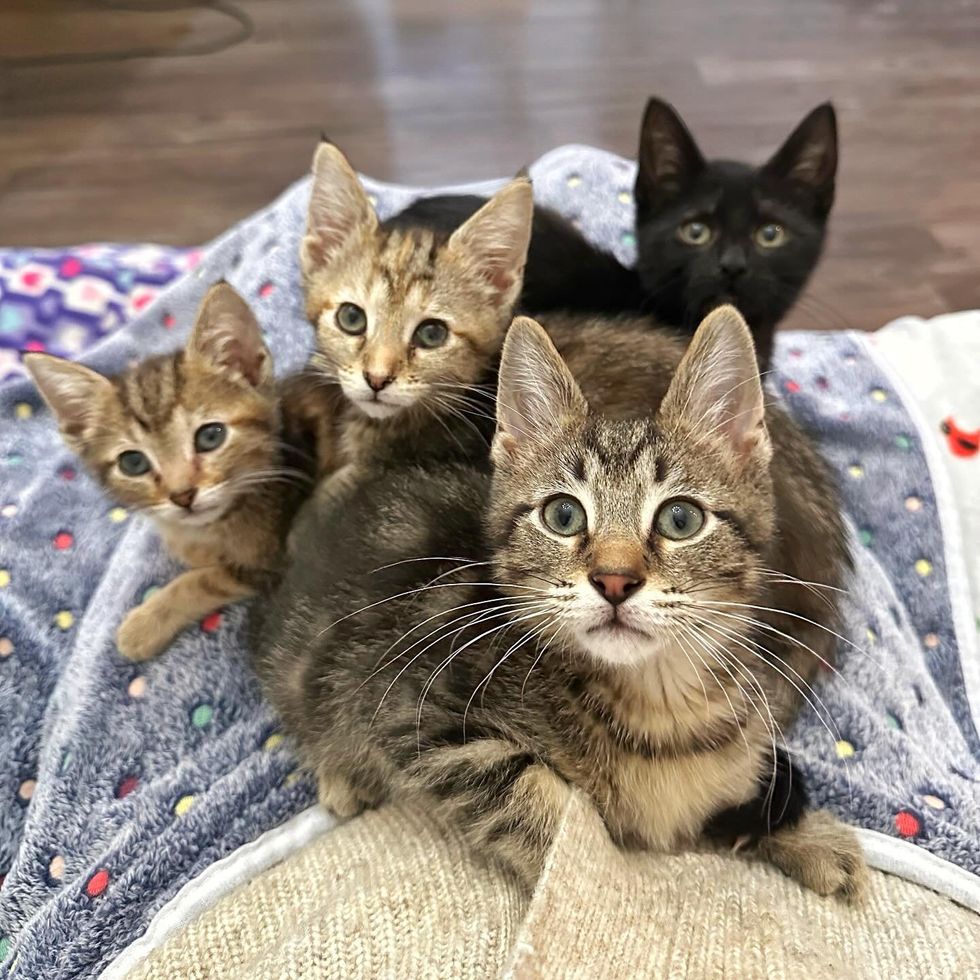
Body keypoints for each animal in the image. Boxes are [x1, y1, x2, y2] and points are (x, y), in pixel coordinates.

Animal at [25, 286, 310, 668]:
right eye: (133, 463)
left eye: (211, 436)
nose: (182, 495)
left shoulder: (274, 564)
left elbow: (204, 579)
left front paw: (143, 625)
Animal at [255, 306, 864, 896]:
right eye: (563, 515)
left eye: (680, 519)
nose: (614, 580)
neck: (657, 705)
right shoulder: (414, 712)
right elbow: (541, 803)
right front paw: (599, 891)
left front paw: (812, 838)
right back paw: (342, 777)